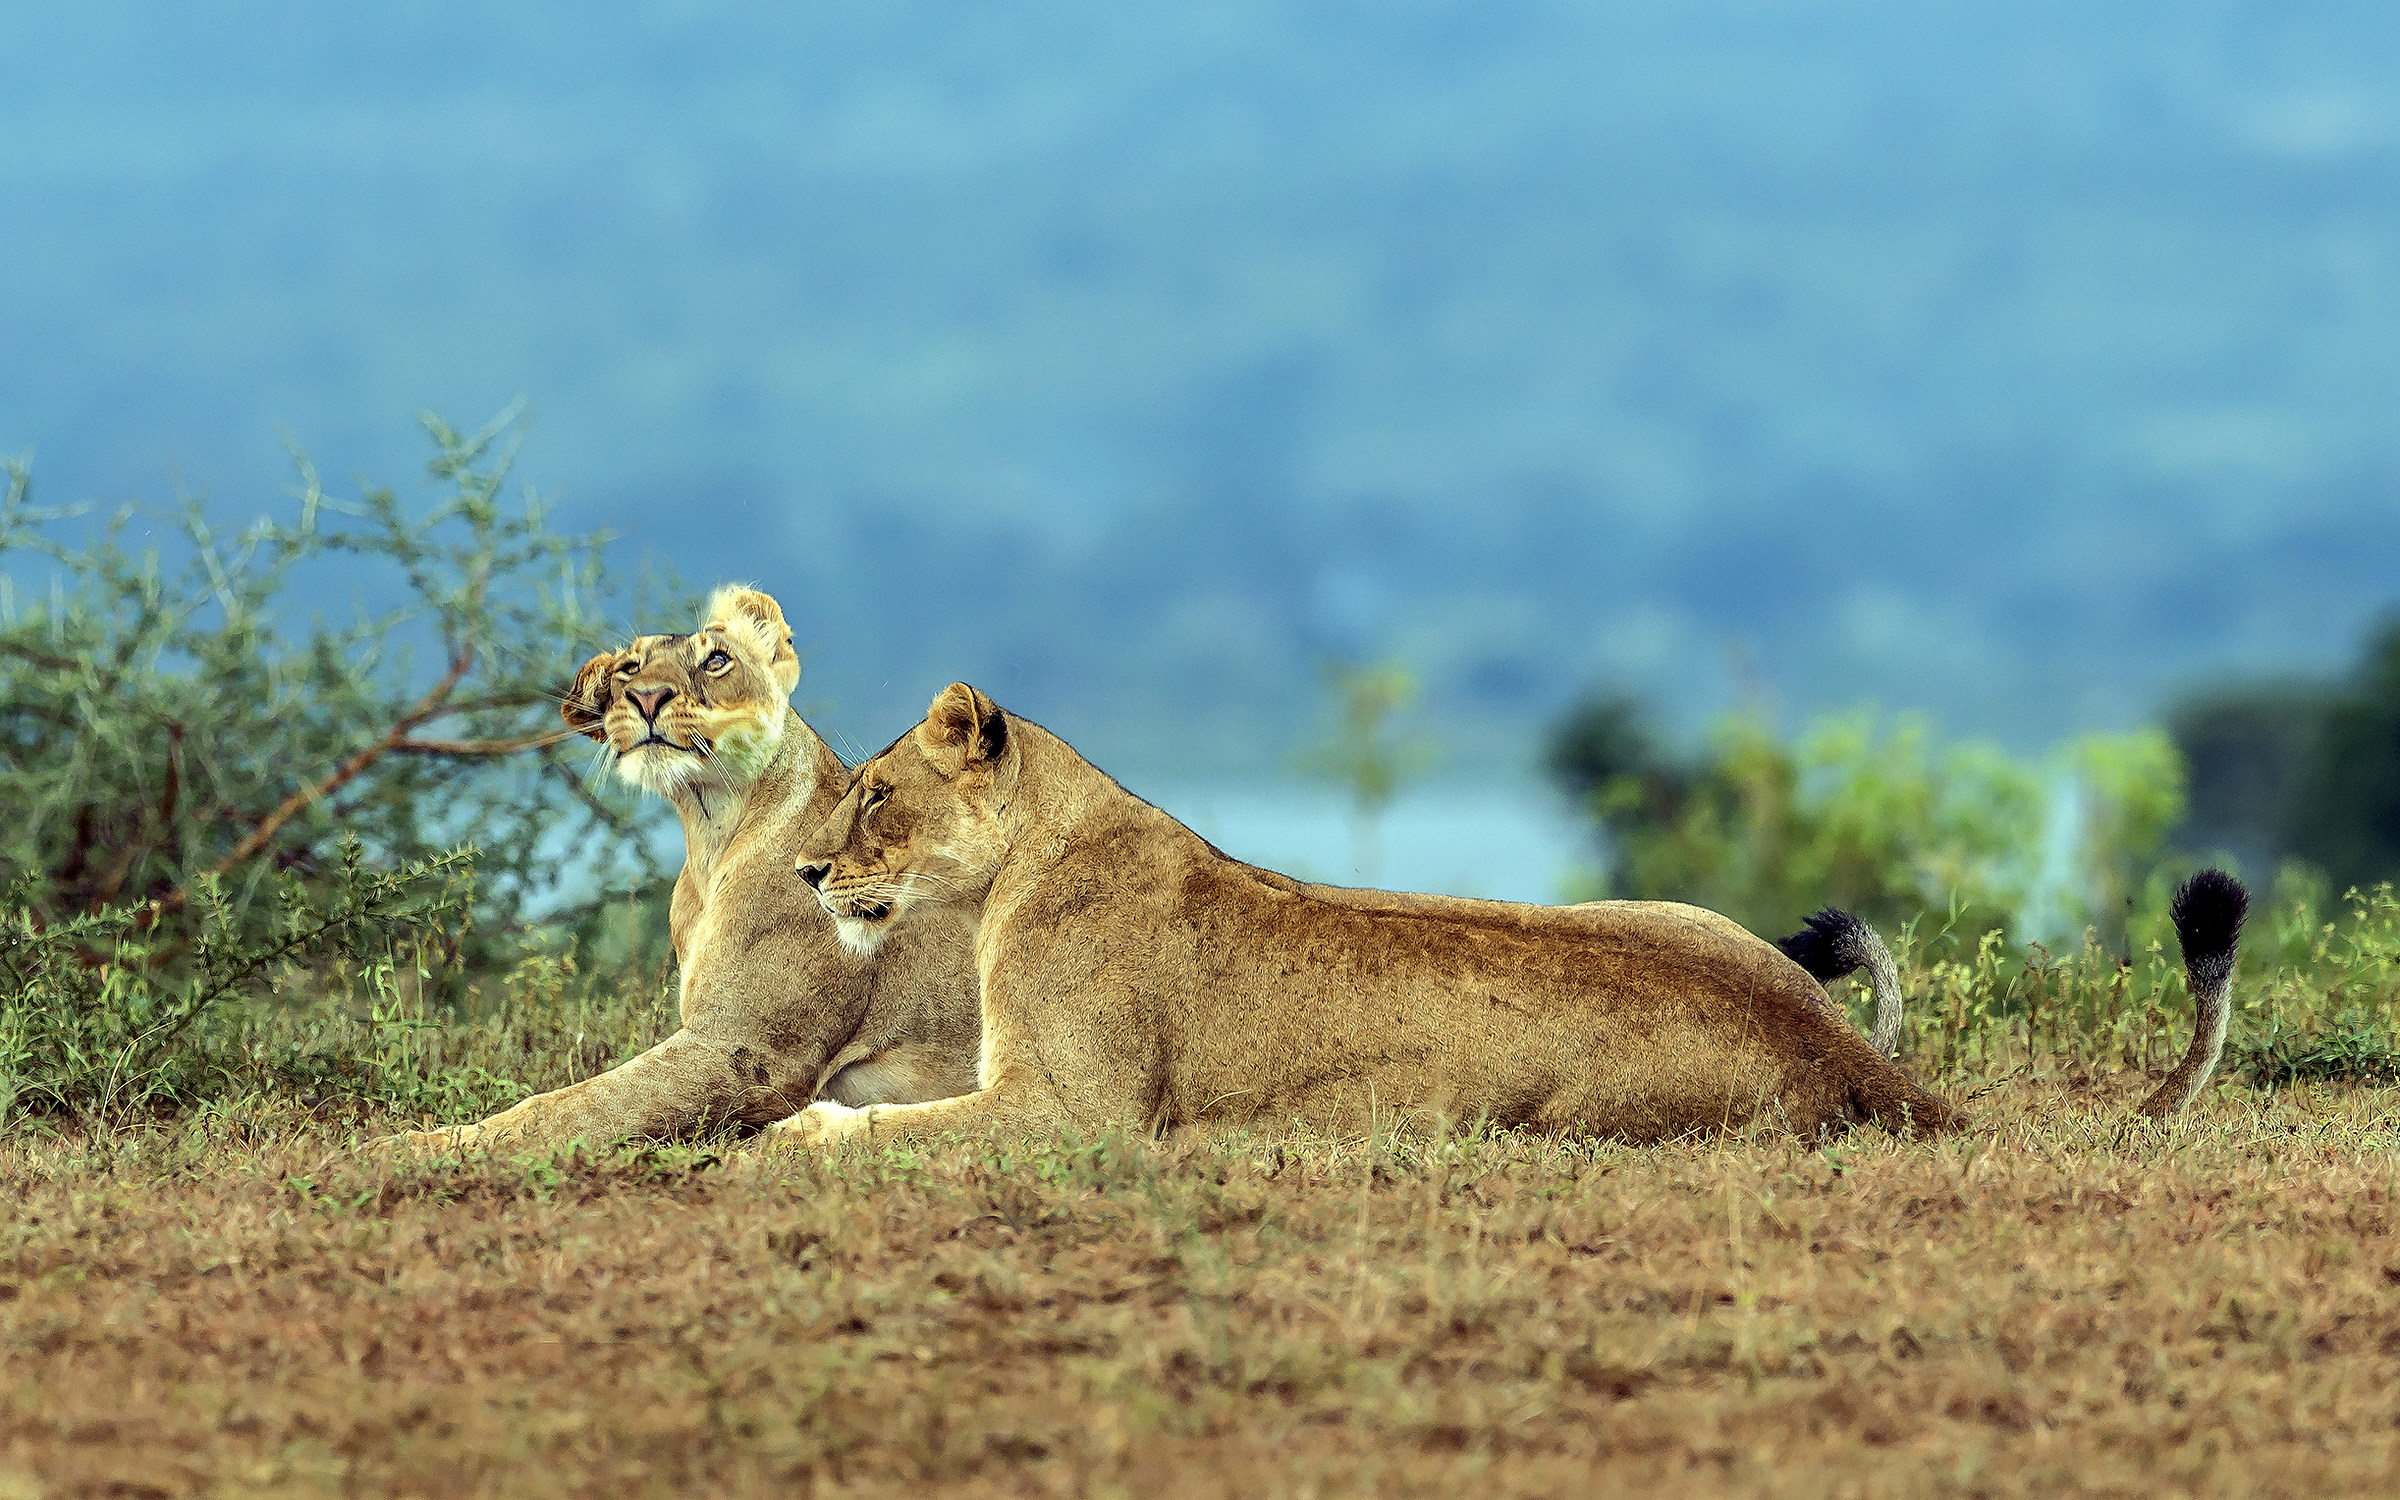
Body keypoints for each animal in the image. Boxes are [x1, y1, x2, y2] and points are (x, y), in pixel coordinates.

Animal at [381, 589, 981, 1153]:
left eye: (716, 660)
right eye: (630, 668)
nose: (646, 696)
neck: (711, 834)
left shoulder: (745, 1053)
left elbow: (572, 1106)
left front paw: (411, 1148)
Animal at [767, 683, 2245, 1152]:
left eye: (876, 795)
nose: (807, 875)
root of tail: (1835, 1046)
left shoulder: (1079, 1113)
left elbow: (873, 1129)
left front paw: (795, 1133)